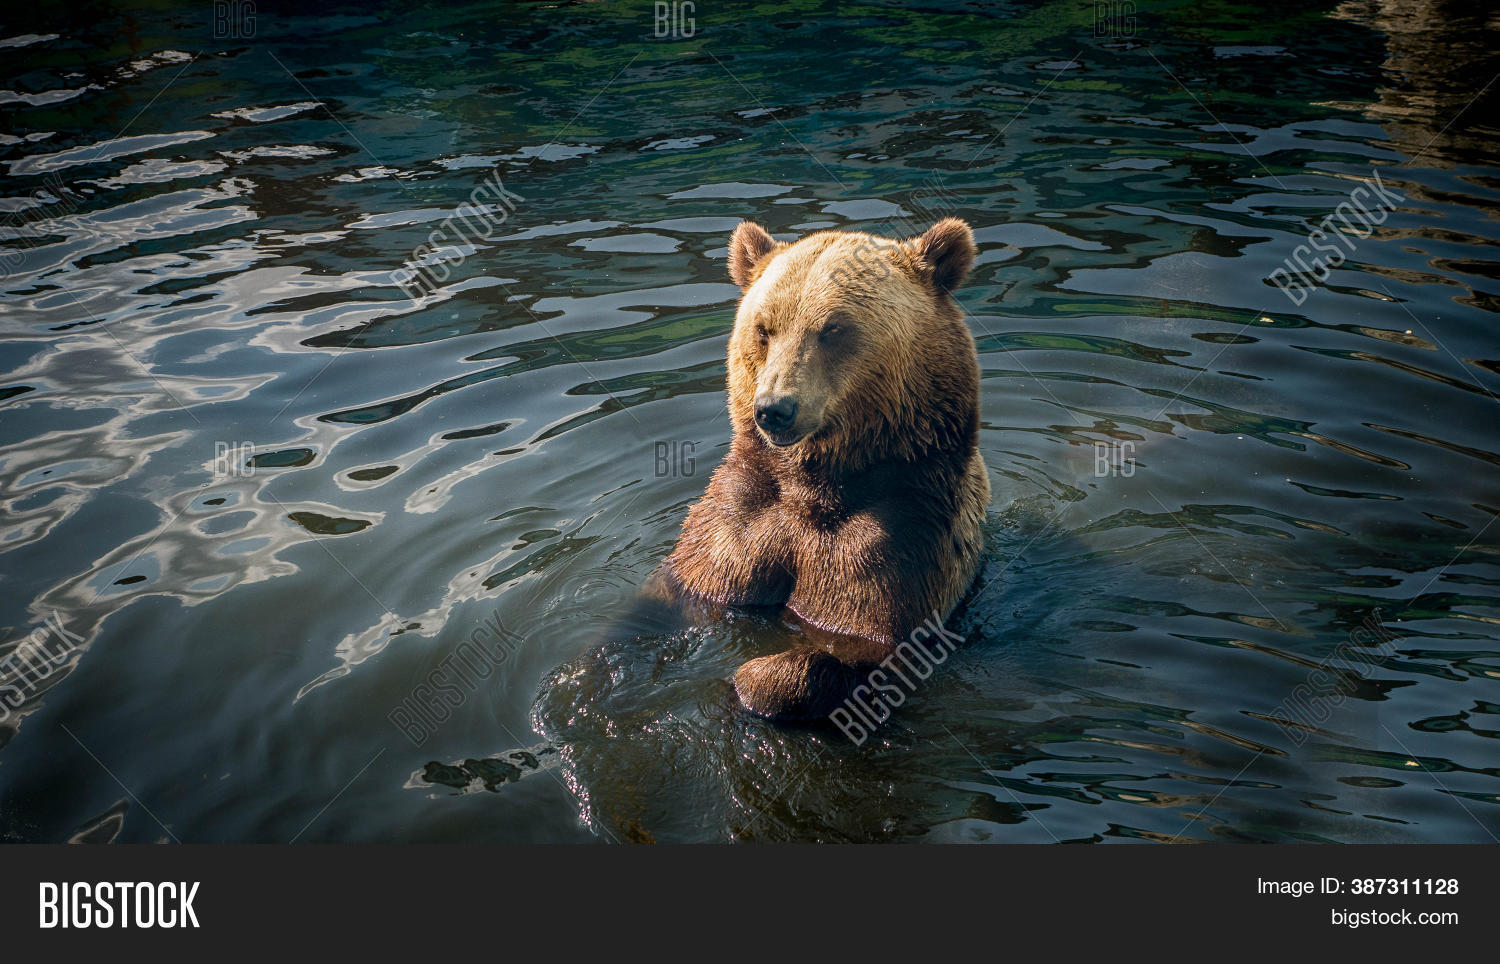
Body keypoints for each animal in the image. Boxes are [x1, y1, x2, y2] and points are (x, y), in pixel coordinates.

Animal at [648, 217, 990, 722]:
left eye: (833, 329)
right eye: (764, 328)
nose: (774, 409)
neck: (816, 485)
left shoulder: (900, 537)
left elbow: (860, 647)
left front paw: (757, 680)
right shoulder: (736, 520)